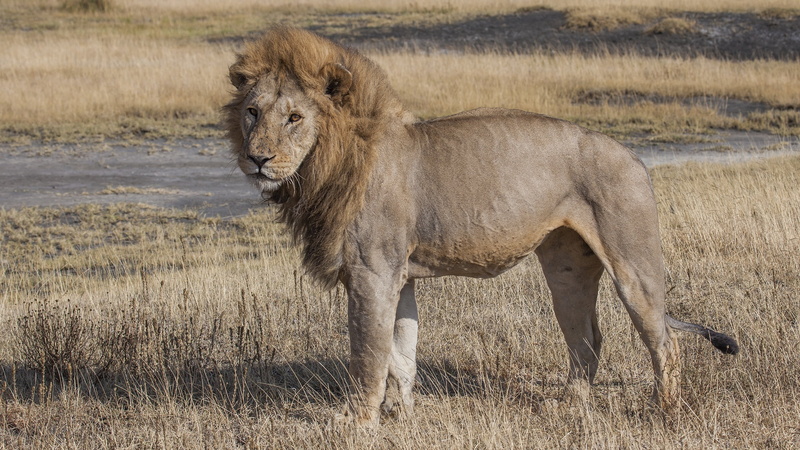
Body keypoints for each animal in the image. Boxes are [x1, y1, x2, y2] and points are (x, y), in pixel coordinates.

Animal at [224, 27, 738, 425]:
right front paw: (399, 414)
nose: (257, 158)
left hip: (633, 266)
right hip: (567, 270)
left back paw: (663, 412)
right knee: (587, 341)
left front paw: (357, 421)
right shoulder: (397, 276)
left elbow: (367, 354)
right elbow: (400, 353)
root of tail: (634, 157)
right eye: (253, 112)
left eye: (295, 117)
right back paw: (567, 408)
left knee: (665, 341)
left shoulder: (373, 273)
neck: (324, 167)